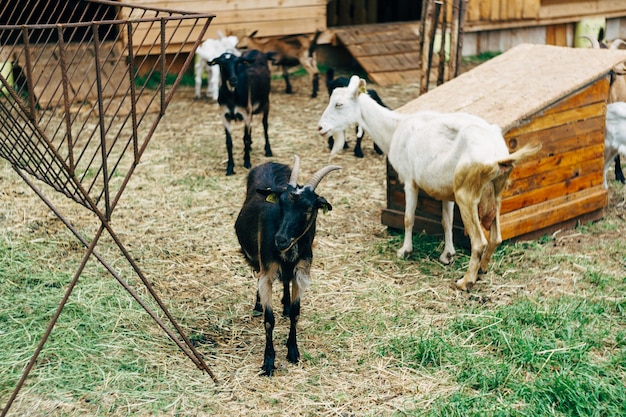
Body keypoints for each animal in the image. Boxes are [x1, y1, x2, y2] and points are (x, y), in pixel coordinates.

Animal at [235, 155, 342, 374]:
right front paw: (268, 362)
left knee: (285, 280)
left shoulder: (301, 273)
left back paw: (284, 303)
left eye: (308, 209)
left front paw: (293, 352)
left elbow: (295, 313)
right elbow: (269, 320)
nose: (281, 239)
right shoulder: (267, 273)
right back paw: (258, 305)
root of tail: (271, 162)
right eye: (282, 205)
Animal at [316, 75, 536, 290]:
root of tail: (497, 155)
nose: (320, 128)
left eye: (339, 104)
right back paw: (481, 270)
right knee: (496, 236)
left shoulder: (410, 181)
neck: (395, 129)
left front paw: (405, 251)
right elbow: (446, 221)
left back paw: (465, 282)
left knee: (479, 242)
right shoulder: (446, 190)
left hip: (466, 194)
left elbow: (408, 218)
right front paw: (447, 255)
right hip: (496, 193)